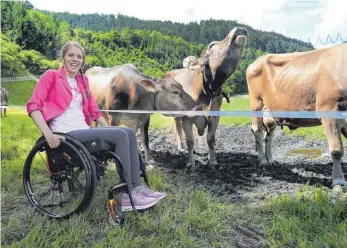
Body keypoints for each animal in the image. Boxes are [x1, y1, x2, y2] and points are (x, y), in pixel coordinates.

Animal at [165, 26, 249, 170]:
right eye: (212, 45)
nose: (241, 28)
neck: (205, 95)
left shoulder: (215, 116)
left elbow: (210, 139)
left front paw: (213, 161)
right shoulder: (186, 118)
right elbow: (190, 140)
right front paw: (191, 164)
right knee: (178, 127)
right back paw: (181, 147)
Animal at [247, 43, 347, 189]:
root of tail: (256, 61)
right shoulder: (329, 109)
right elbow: (336, 149)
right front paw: (338, 181)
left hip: (272, 110)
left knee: (269, 135)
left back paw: (270, 159)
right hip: (256, 102)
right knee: (258, 131)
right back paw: (263, 161)